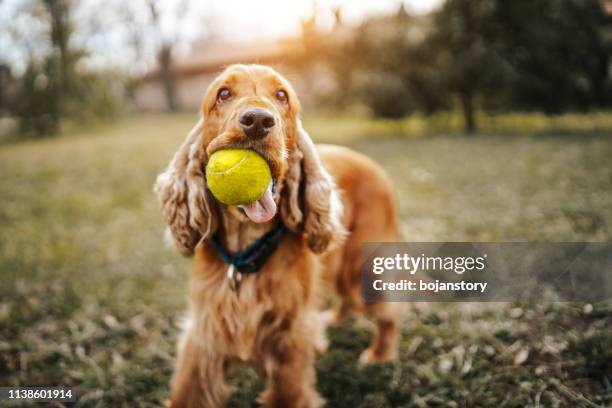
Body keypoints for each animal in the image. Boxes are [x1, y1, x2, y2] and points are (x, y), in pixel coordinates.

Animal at [155, 64, 400, 408]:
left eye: (282, 95)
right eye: (223, 93)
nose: (258, 120)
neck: (246, 250)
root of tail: (372, 165)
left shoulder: (288, 343)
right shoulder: (206, 333)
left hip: (364, 264)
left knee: (387, 311)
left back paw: (379, 354)